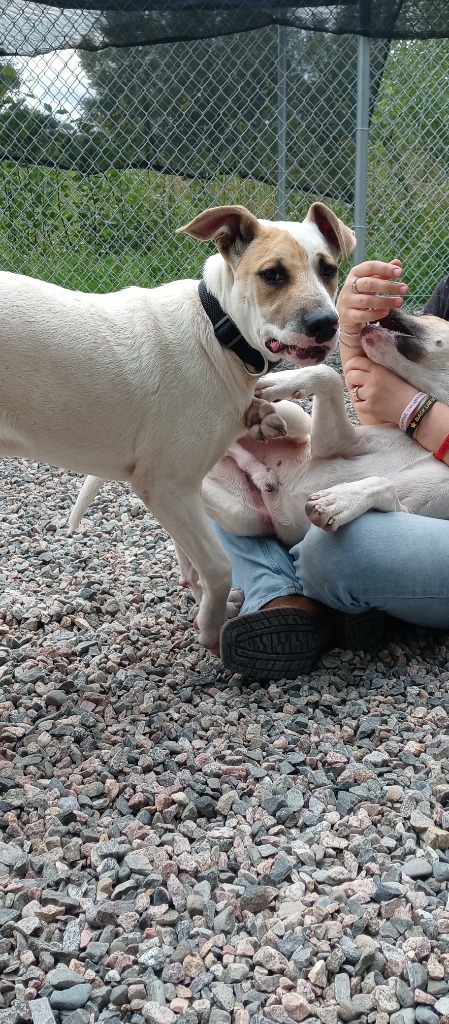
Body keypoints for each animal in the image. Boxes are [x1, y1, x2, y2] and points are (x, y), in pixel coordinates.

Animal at [1, 200, 356, 647]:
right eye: (273, 274)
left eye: (328, 269)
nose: (326, 324)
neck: (220, 333)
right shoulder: (167, 486)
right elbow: (218, 567)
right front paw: (212, 629)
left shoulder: (182, 492)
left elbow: (191, 557)